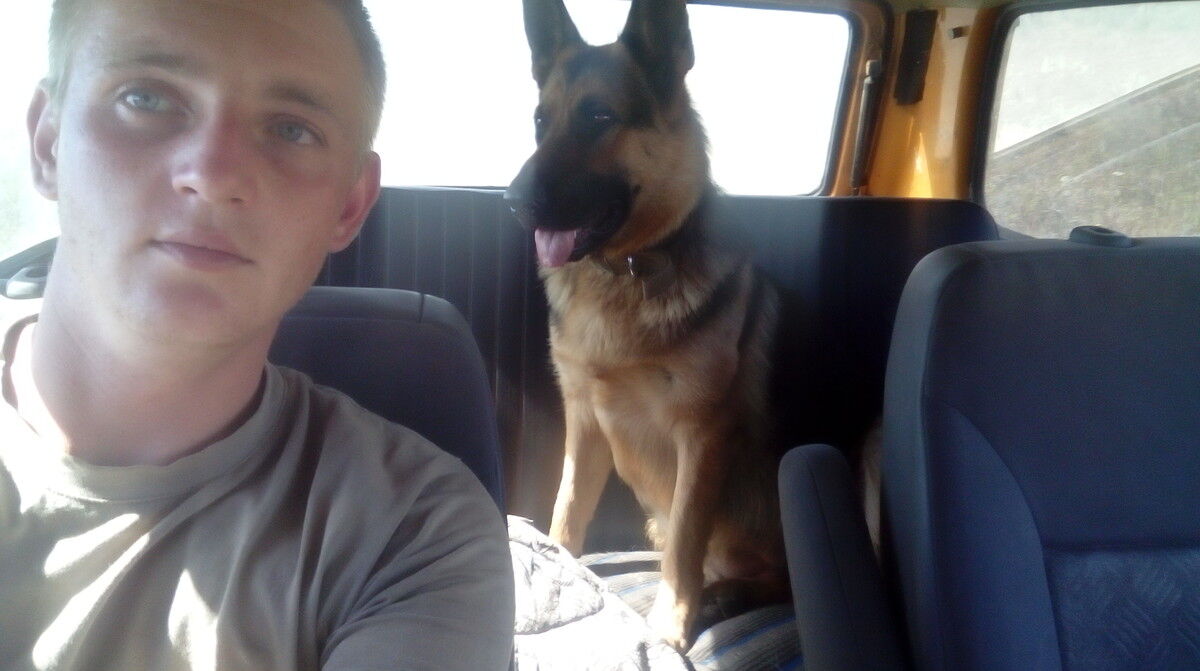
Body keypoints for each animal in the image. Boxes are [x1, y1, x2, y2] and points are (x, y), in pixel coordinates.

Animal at [505, 0, 790, 649]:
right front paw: (558, 571)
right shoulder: (584, 422)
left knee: (777, 575)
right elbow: (567, 508)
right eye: (540, 121)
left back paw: (724, 595)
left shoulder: (701, 436)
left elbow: (686, 536)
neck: (626, 270)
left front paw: (671, 623)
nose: (511, 200)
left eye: (599, 117)